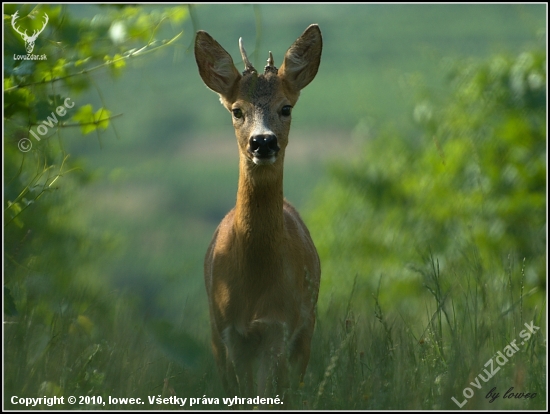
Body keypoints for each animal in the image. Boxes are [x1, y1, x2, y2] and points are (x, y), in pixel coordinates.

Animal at [194, 25, 324, 402]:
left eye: (286, 107)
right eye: (237, 110)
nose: (263, 142)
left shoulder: (279, 326)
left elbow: (267, 395)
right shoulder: (230, 333)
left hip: (307, 328)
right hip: (215, 336)